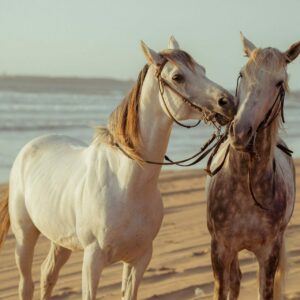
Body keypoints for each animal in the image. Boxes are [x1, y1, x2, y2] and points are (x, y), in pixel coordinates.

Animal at [0, 37, 236, 300]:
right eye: (177, 77)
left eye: (203, 70)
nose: (229, 103)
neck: (127, 183)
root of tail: (30, 146)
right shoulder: (93, 260)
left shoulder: (139, 259)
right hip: (25, 236)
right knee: (26, 283)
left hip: (61, 240)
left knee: (47, 274)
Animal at [206, 33, 300, 300]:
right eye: (242, 74)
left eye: (279, 83)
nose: (240, 132)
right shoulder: (220, 250)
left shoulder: (269, 255)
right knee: (235, 280)